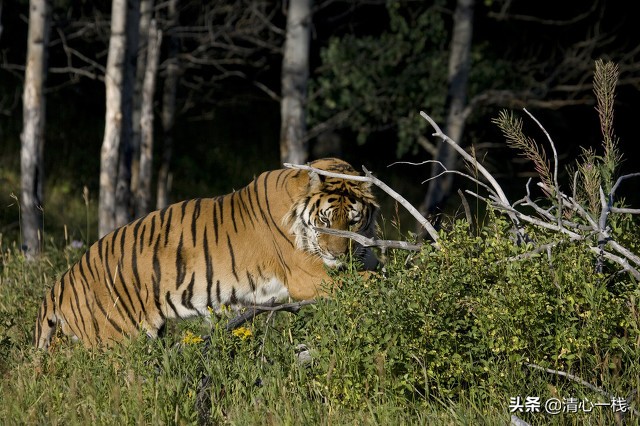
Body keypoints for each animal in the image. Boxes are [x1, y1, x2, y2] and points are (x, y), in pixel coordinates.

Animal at [32, 158, 378, 348]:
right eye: (325, 221)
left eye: (352, 220)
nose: (338, 255)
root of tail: (63, 281)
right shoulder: (307, 275)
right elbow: (364, 285)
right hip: (116, 341)